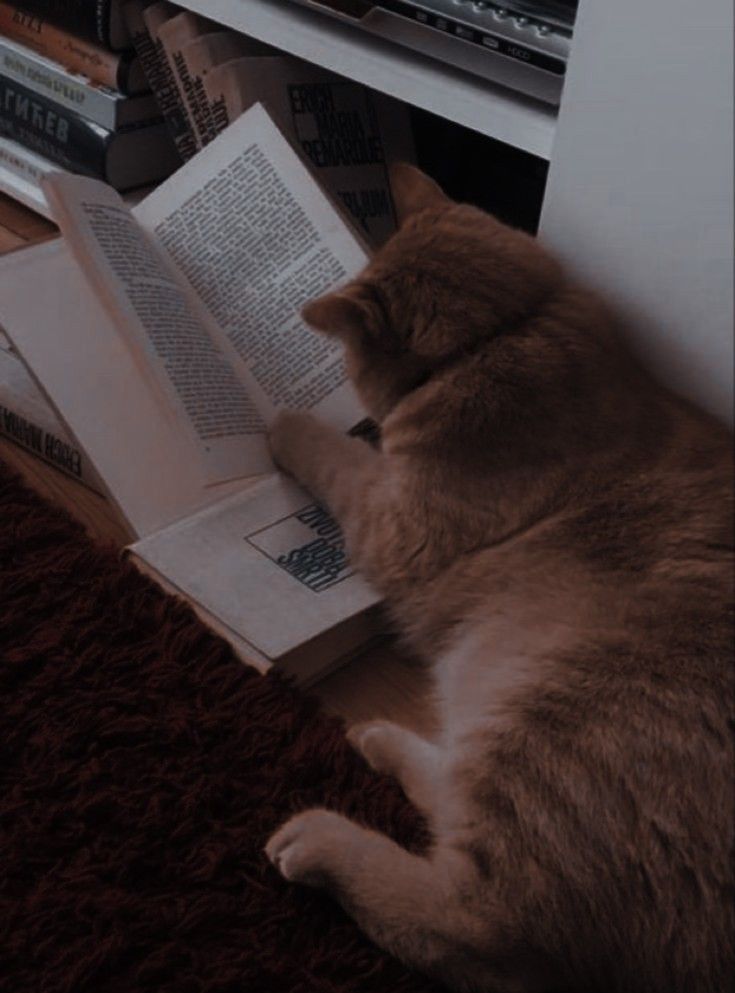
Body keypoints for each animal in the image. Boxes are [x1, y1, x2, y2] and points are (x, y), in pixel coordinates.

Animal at [266, 165, 735, 992]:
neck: (508, 330)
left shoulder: (390, 520)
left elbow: (332, 453)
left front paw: (288, 421)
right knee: (452, 804)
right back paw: (379, 738)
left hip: (542, 729)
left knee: (472, 929)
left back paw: (319, 840)